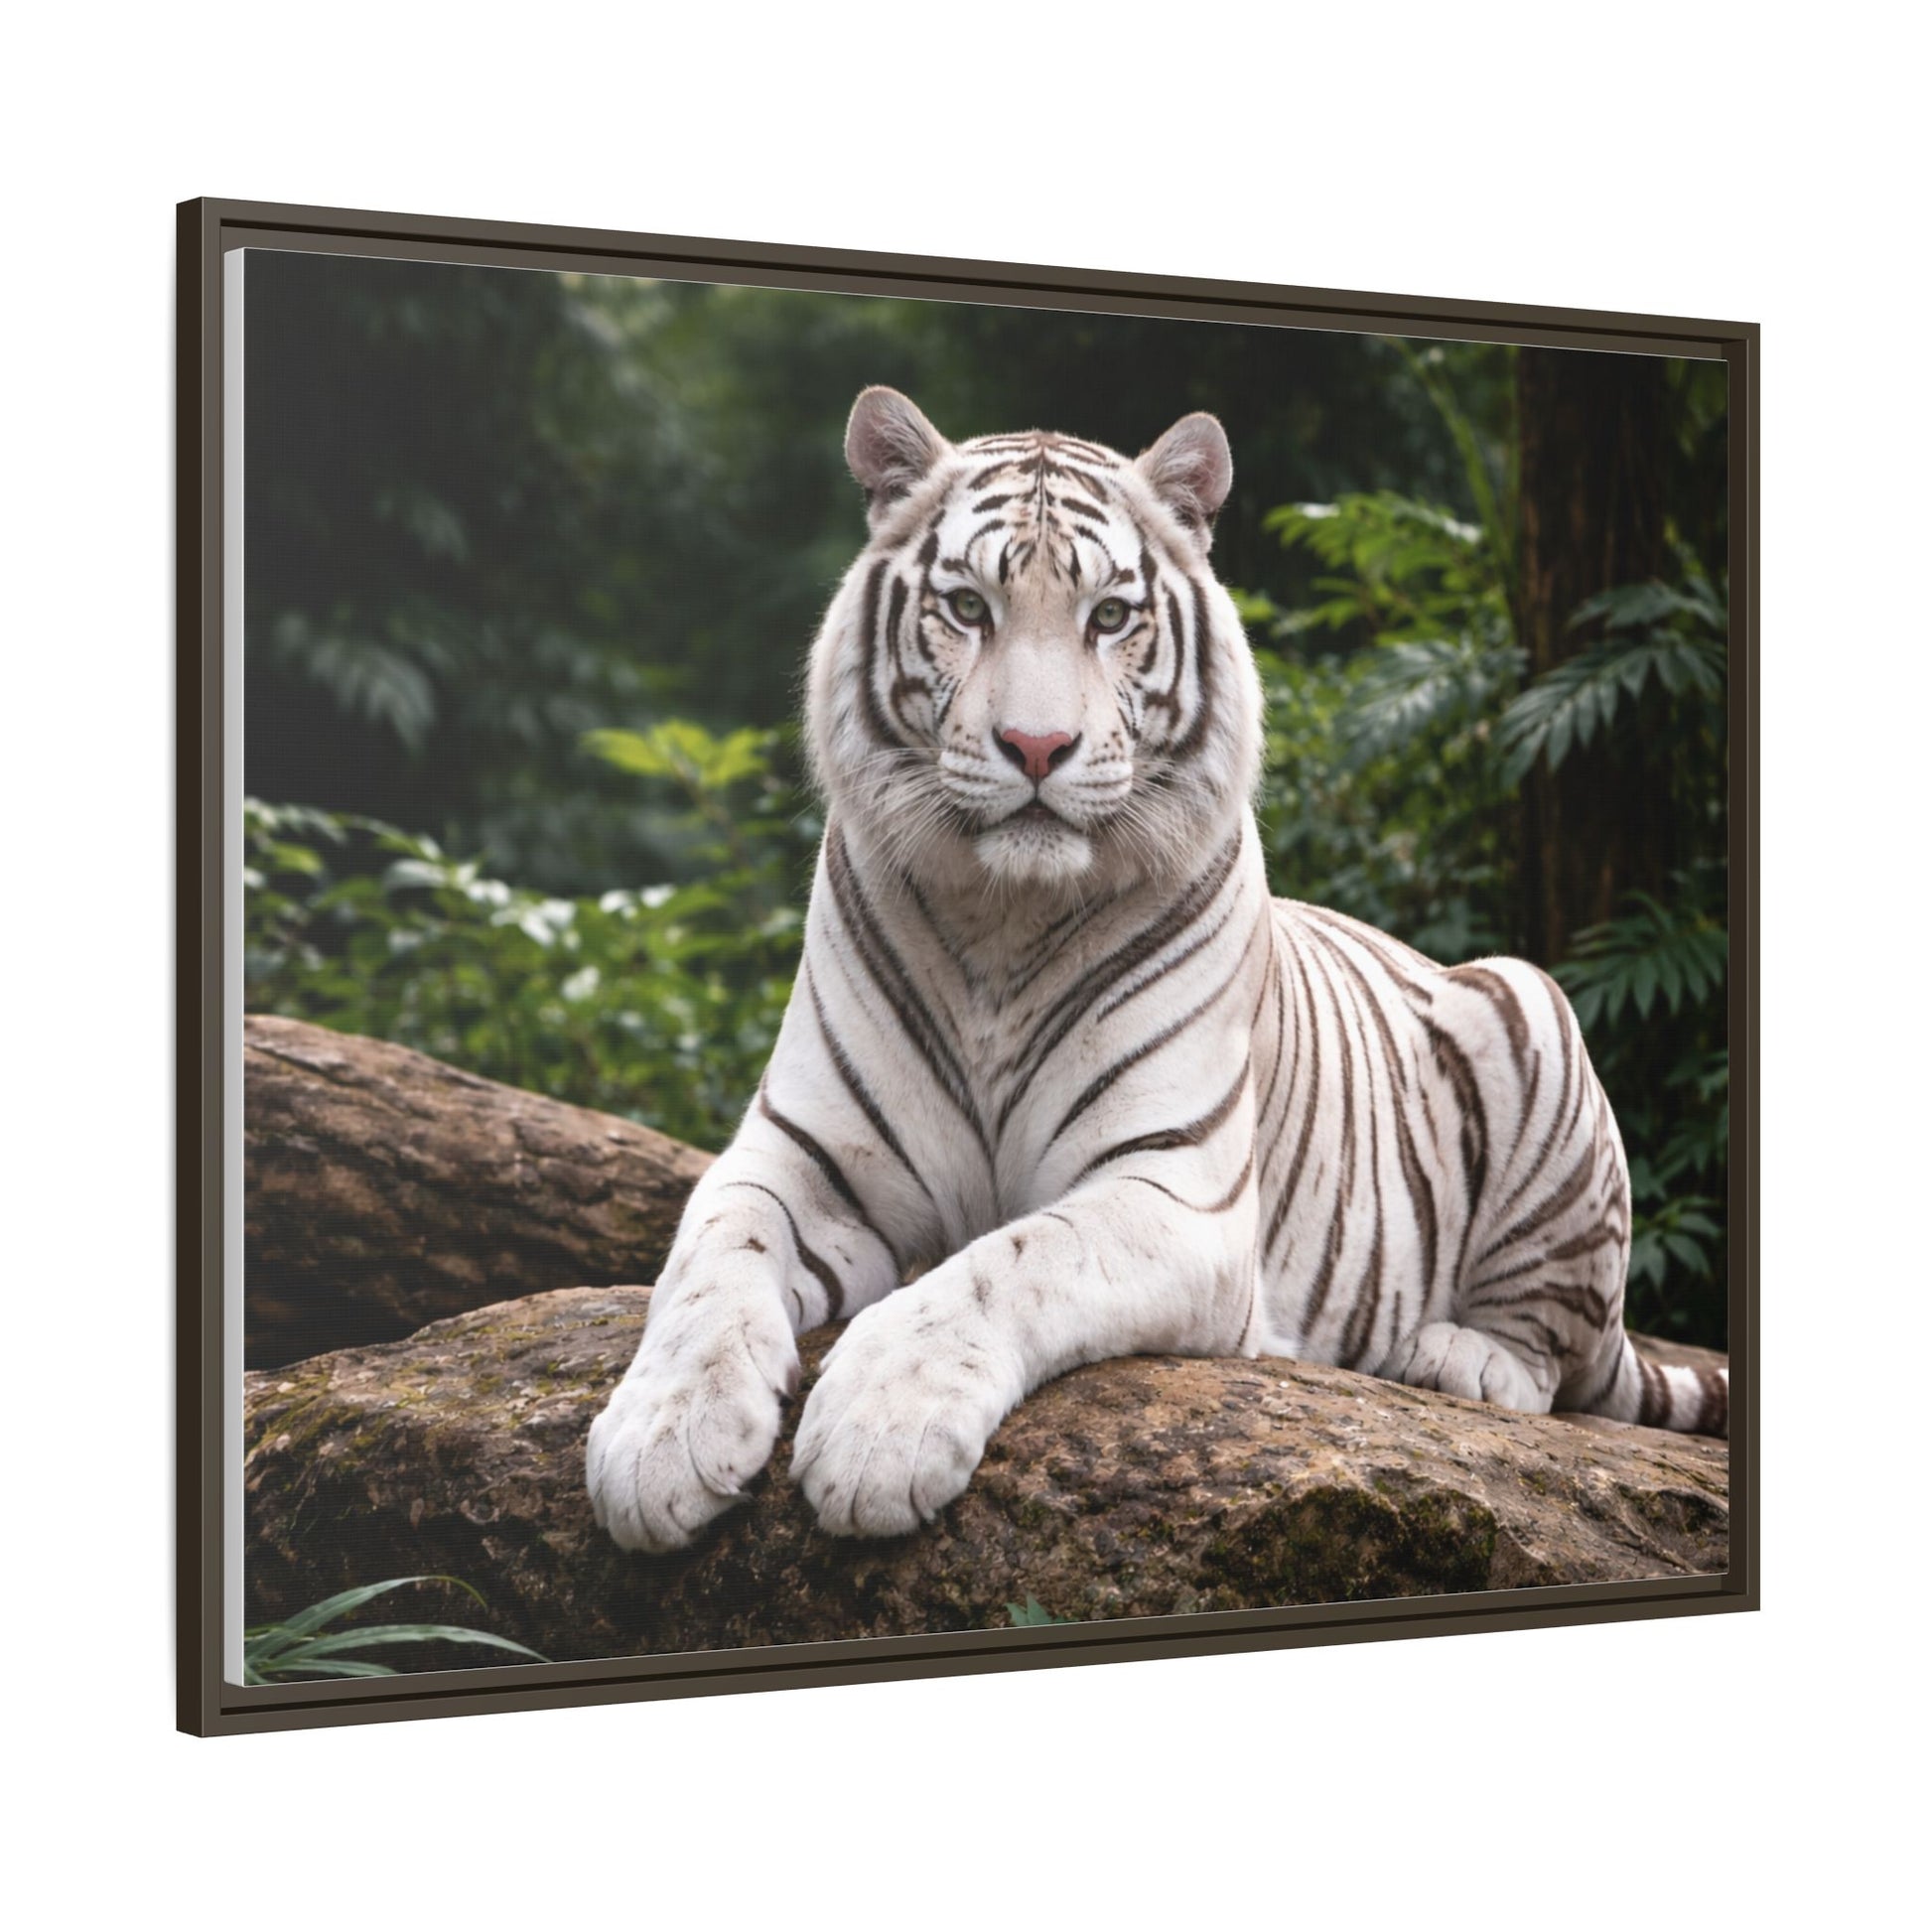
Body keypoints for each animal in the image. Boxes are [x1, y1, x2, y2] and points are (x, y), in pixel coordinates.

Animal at [585, 385, 1728, 1554]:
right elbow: (709, 1263)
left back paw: (1458, 1358)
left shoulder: (1169, 1186)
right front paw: (659, 1440)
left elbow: (1003, 1264)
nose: (1035, 746)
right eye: (967, 607)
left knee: (1555, 1361)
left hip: (1526, 1003)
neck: (1001, 918)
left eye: (1107, 616)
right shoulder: (795, 1154)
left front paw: (877, 1433)